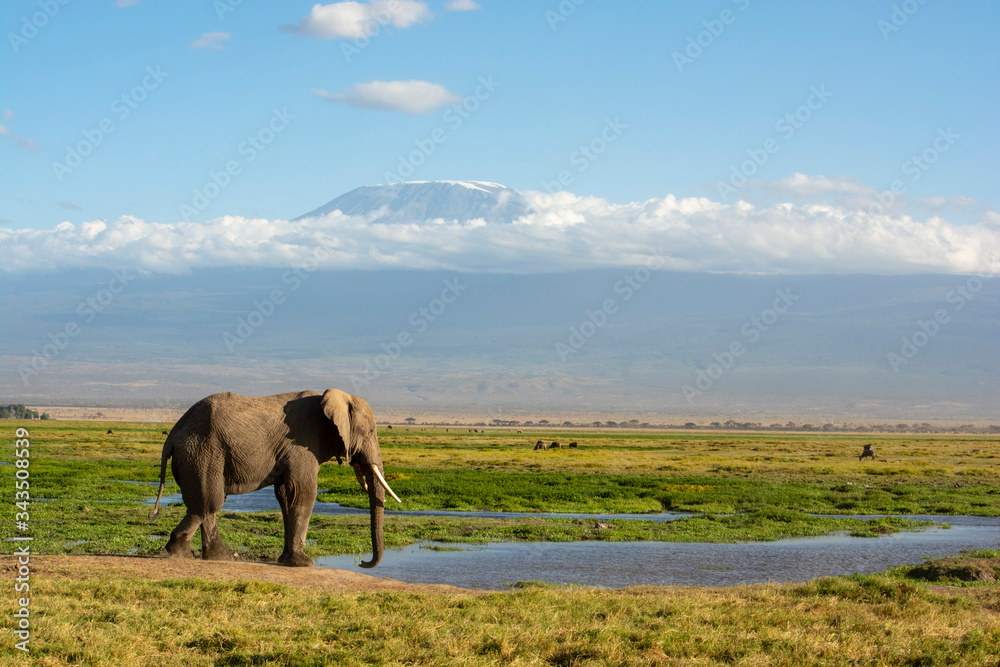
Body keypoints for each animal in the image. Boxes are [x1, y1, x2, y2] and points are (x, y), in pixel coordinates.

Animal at [148, 389, 400, 568]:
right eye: (370, 432)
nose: (362, 562)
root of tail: (173, 433)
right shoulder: (302, 444)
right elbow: (303, 492)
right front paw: (302, 564)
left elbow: (286, 496)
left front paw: (286, 560)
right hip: (203, 453)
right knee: (209, 503)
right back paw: (178, 554)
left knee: (208, 505)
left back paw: (220, 557)